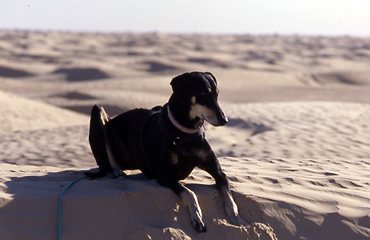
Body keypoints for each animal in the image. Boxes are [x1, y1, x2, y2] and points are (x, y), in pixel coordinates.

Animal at [87, 71, 243, 232]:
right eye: (202, 93)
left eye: (217, 94)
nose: (224, 120)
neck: (184, 132)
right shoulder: (165, 176)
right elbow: (189, 192)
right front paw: (197, 217)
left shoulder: (218, 172)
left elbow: (228, 194)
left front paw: (235, 216)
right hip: (98, 111)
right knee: (107, 159)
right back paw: (116, 171)